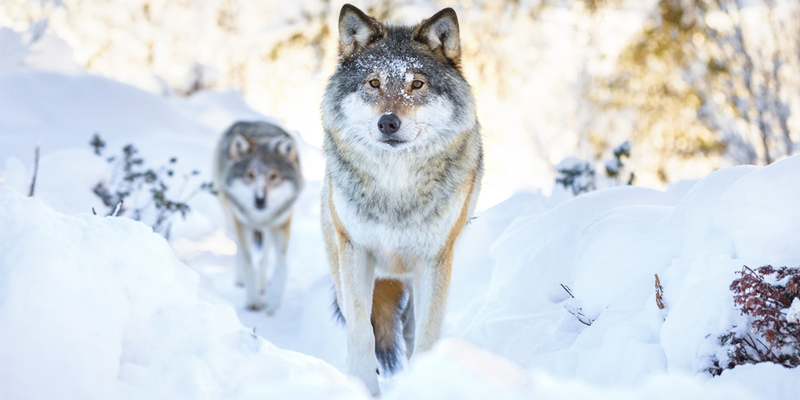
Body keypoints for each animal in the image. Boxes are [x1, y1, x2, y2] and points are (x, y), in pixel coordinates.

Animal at [212, 120, 304, 314]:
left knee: (265, 255)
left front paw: (274, 300)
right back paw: (242, 279)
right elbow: (248, 262)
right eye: (250, 175)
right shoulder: (242, 222)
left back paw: (263, 284)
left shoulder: (281, 222)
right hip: (231, 217)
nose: (260, 200)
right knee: (239, 248)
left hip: (268, 228)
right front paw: (253, 300)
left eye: (273, 176)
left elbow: (282, 264)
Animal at [318, 4, 482, 396]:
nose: (388, 123)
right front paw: (363, 387)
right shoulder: (356, 252)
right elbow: (361, 334)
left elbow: (426, 338)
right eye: (374, 83)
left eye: (417, 84)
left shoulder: (435, 260)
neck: (396, 187)